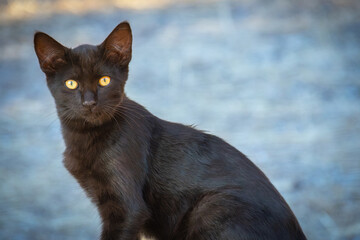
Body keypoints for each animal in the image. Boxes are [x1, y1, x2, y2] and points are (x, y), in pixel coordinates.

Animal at [33, 21, 306, 239]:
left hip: (212, 208)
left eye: (104, 81)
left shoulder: (127, 210)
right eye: (71, 84)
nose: (89, 103)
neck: (85, 137)